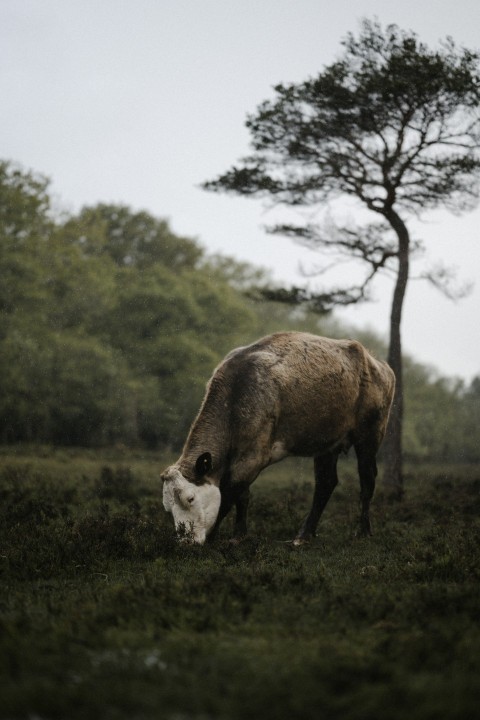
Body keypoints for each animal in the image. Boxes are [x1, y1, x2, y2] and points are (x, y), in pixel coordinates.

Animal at [161, 332, 394, 544]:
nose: (185, 541)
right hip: (327, 443)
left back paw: (362, 531)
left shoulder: (253, 456)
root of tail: (379, 365)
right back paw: (304, 535)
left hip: (370, 434)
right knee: (326, 483)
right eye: (167, 508)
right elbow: (242, 496)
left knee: (367, 479)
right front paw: (239, 535)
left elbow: (230, 493)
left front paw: (217, 537)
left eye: (190, 498)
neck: (237, 393)